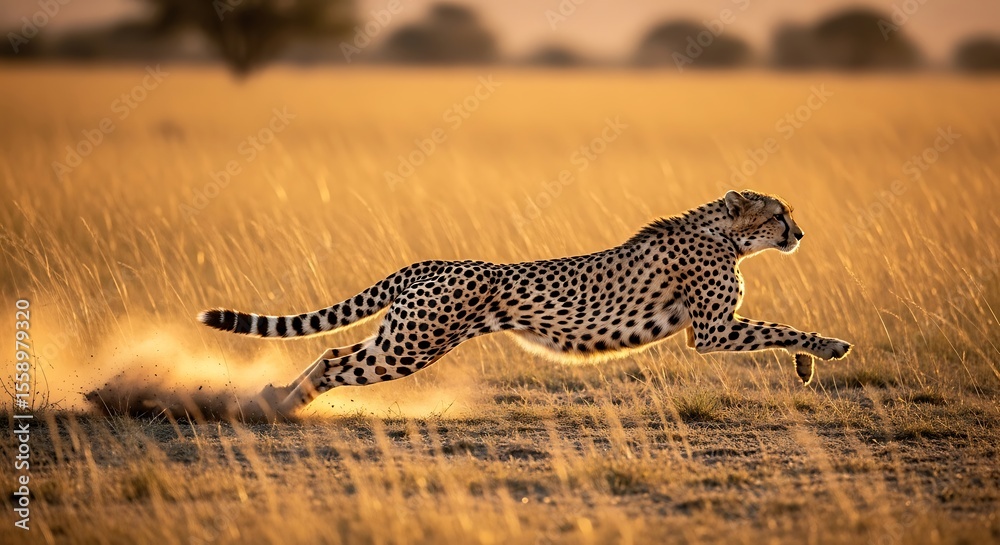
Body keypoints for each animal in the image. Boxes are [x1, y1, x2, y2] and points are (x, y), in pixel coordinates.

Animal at [198, 190, 852, 417]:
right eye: (779, 214)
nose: (800, 234)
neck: (726, 235)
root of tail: (431, 261)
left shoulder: (716, 328)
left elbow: (778, 330)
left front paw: (806, 367)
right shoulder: (714, 331)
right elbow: (782, 326)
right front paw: (828, 349)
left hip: (401, 335)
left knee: (333, 351)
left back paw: (273, 399)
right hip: (412, 345)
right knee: (337, 361)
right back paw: (282, 407)